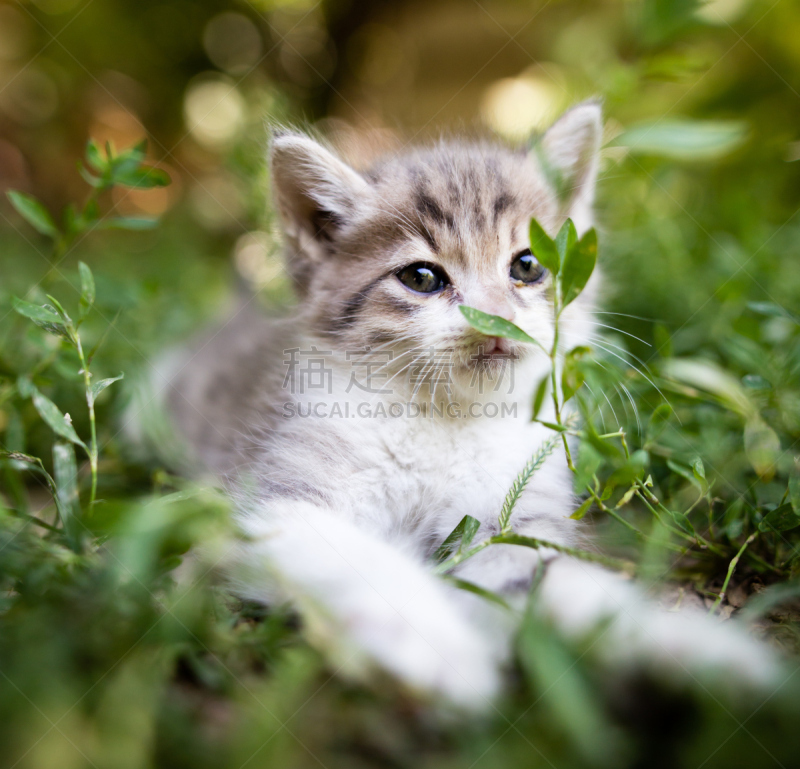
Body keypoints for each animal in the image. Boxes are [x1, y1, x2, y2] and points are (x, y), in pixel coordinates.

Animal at [162, 105, 780, 712]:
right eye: (421, 277)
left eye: (527, 266)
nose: (496, 321)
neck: (447, 417)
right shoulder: (266, 500)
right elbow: (355, 556)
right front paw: (438, 644)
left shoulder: (510, 518)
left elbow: (562, 583)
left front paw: (687, 653)